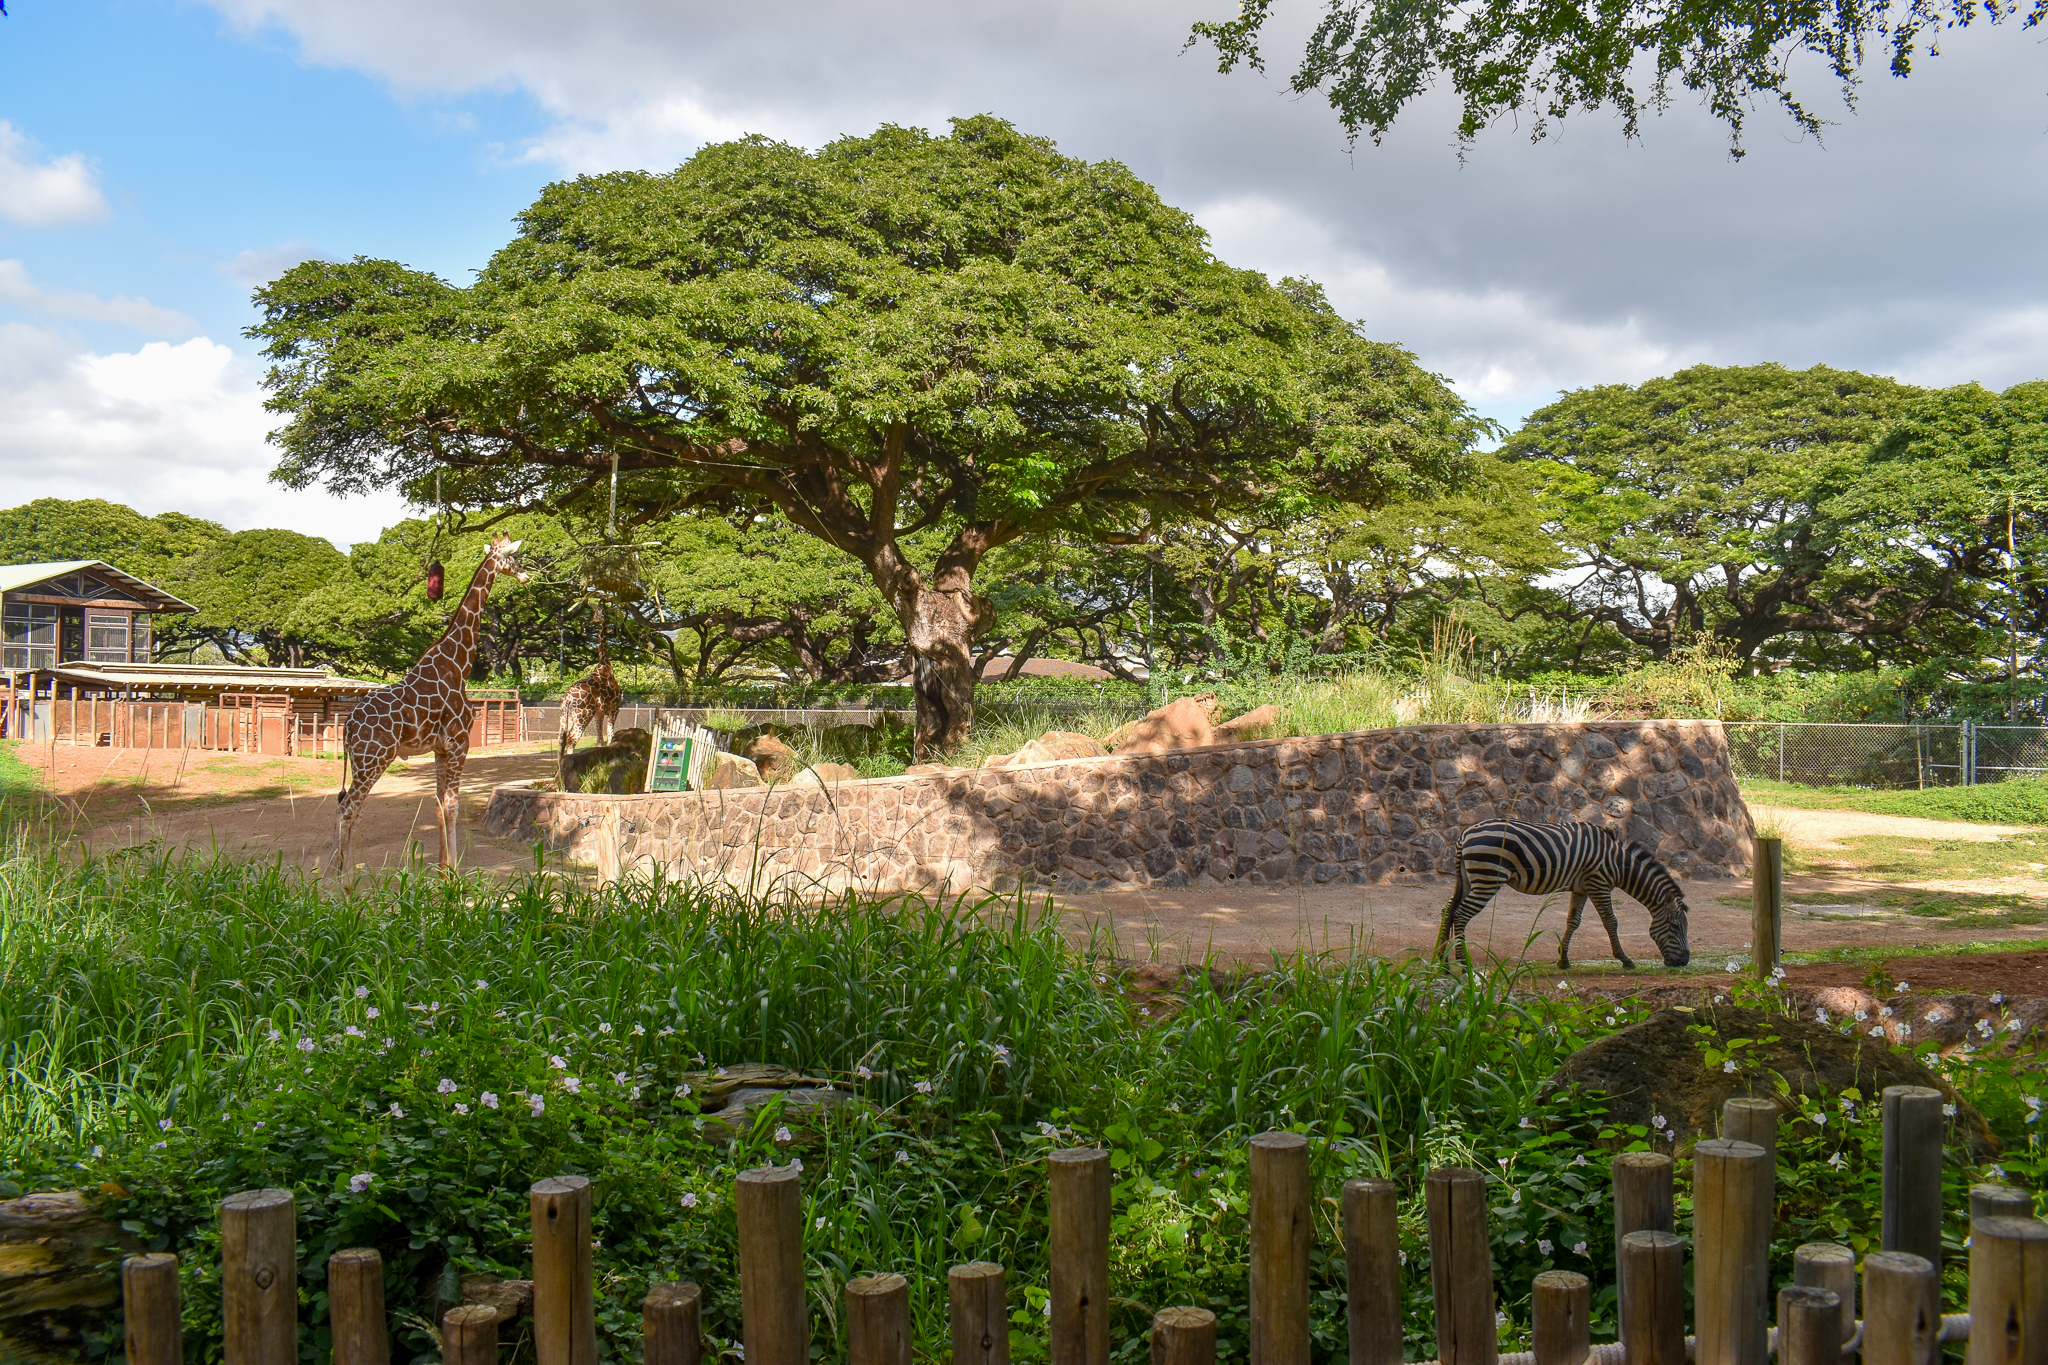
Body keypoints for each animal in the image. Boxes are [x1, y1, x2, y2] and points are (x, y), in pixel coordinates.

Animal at [331, 536, 527, 876]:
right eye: (513, 559)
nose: (525, 576)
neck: (458, 662)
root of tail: (349, 724)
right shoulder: (460, 742)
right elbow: (452, 804)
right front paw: (455, 872)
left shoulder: (439, 748)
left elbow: (437, 804)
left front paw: (441, 869)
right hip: (374, 759)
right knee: (348, 808)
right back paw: (346, 879)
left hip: (359, 761)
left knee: (349, 806)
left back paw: (349, 871)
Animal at [556, 604, 624, 789]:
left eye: (597, 613)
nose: (591, 621)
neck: (606, 665)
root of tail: (568, 700)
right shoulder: (614, 708)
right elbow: (610, 735)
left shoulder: (599, 713)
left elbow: (600, 739)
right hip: (582, 717)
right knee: (572, 739)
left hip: (565, 717)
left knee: (561, 740)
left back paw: (559, 774)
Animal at [1434, 819, 1692, 971]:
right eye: (1676, 927)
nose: (1684, 961)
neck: (1618, 861)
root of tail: (1466, 832)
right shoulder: (1598, 884)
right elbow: (1611, 922)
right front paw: (1625, 959)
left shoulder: (1581, 888)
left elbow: (1573, 922)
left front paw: (1563, 960)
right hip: (1488, 878)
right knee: (1461, 915)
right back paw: (1462, 963)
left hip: (1469, 878)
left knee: (1448, 909)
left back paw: (1442, 960)